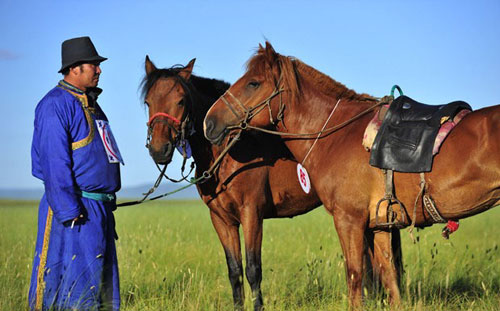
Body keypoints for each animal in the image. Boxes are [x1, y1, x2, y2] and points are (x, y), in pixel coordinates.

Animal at [143, 57, 404, 310]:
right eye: (147, 102)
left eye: (180, 100)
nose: (159, 149)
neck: (230, 152)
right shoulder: (221, 220)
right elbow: (234, 271)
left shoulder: (251, 214)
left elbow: (252, 269)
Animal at [202, 41, 500, 310]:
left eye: (253, 83)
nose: (209, 123)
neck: (336, 135)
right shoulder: (380, 226)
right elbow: (389, 278)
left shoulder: (349, 221)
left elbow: (355, 276)